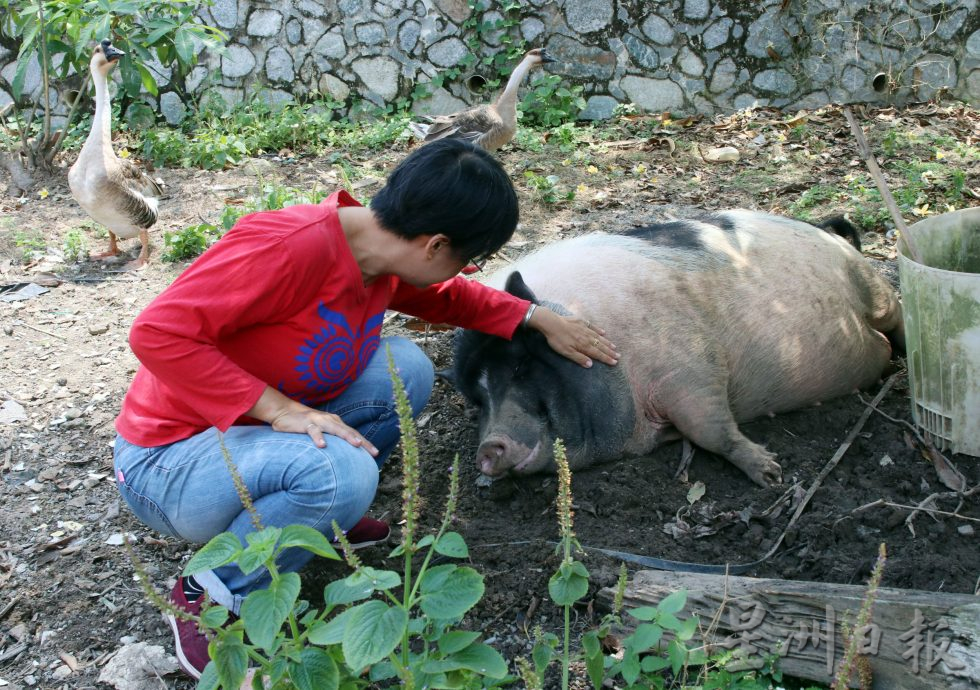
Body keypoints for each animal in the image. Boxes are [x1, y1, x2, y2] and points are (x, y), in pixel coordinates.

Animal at [452, 212, 904, 486]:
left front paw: (772, 474)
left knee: (897, 317)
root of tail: (824, 229)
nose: (488, 447)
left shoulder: (690, 366)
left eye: (520, 368)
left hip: (872, 287)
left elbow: (712, 429)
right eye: (477, 397)